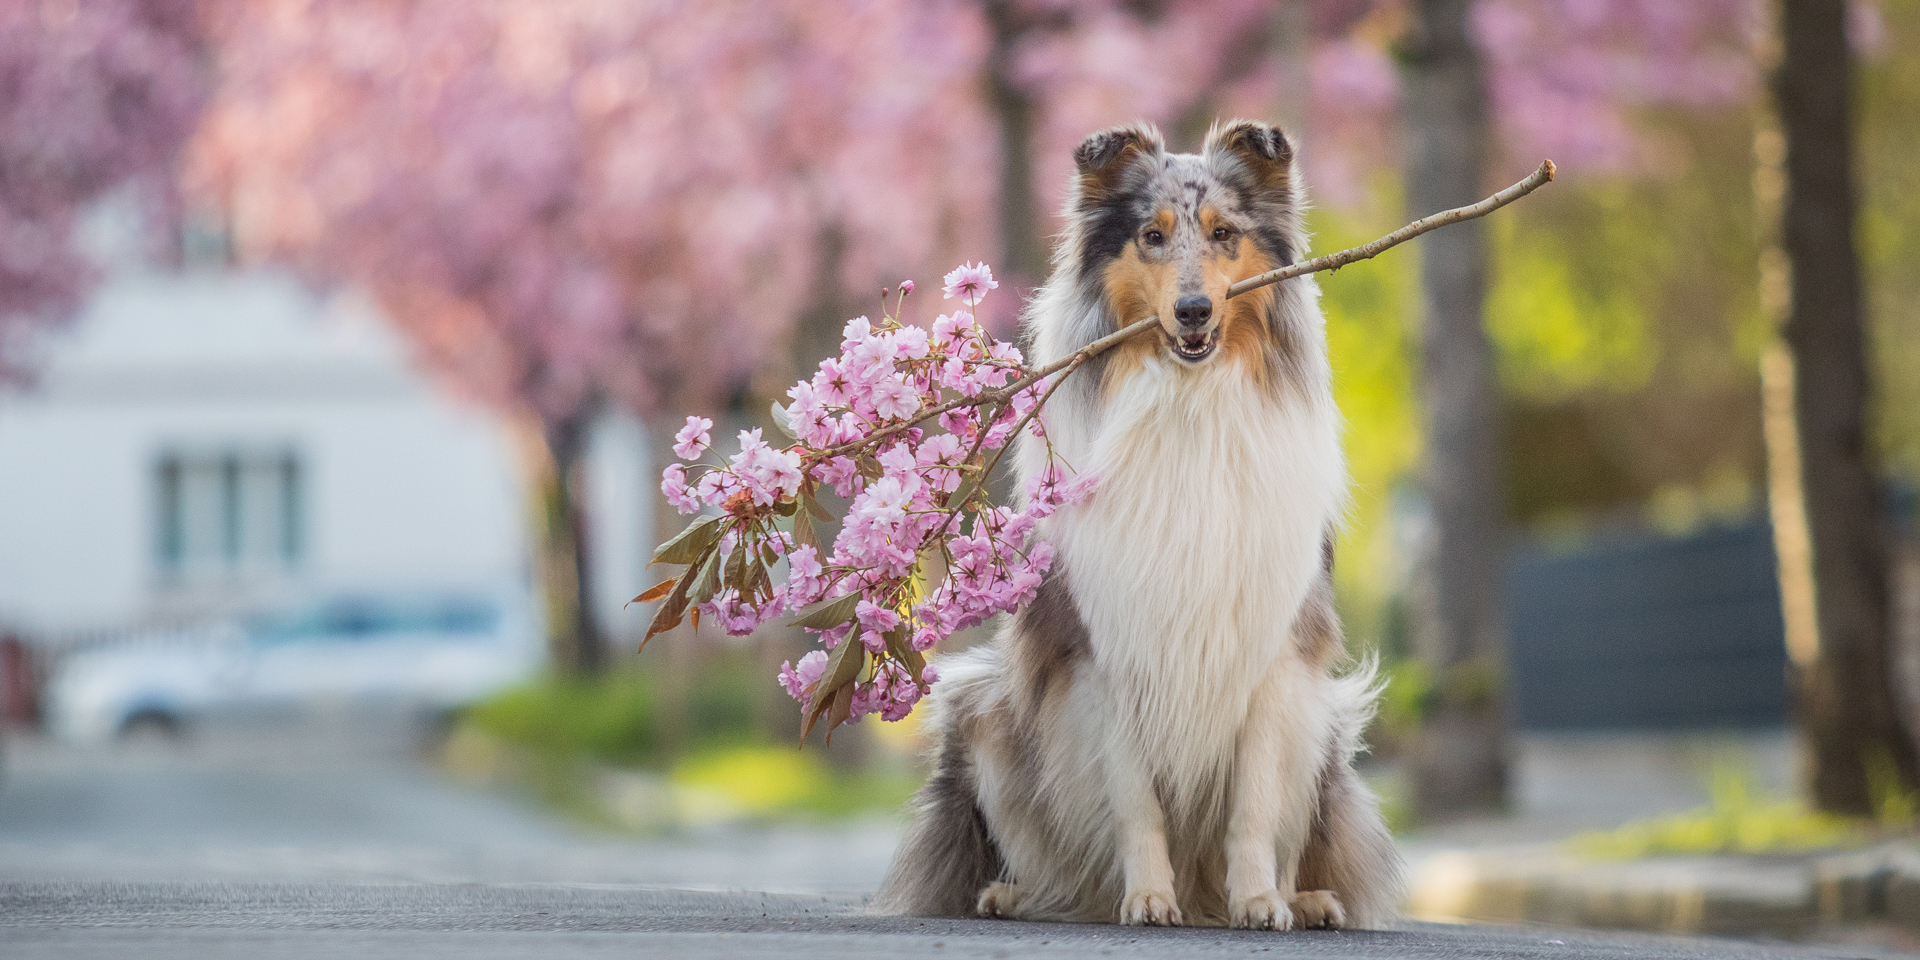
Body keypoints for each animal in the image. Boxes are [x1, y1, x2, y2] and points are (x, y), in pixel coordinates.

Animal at [867, 120, 1397, 929]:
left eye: (1223, 234)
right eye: (1152, 235)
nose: (1194, 312)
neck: (1189, 402)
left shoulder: (1273, 652)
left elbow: (1254, 802)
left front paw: (1260, 902)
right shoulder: (1106, 647)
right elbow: (1133, 799)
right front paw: (1147, 899)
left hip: (1326, 729)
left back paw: (1302, 900)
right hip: (983, 706)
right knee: (1052, 864)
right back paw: (1017, 894)